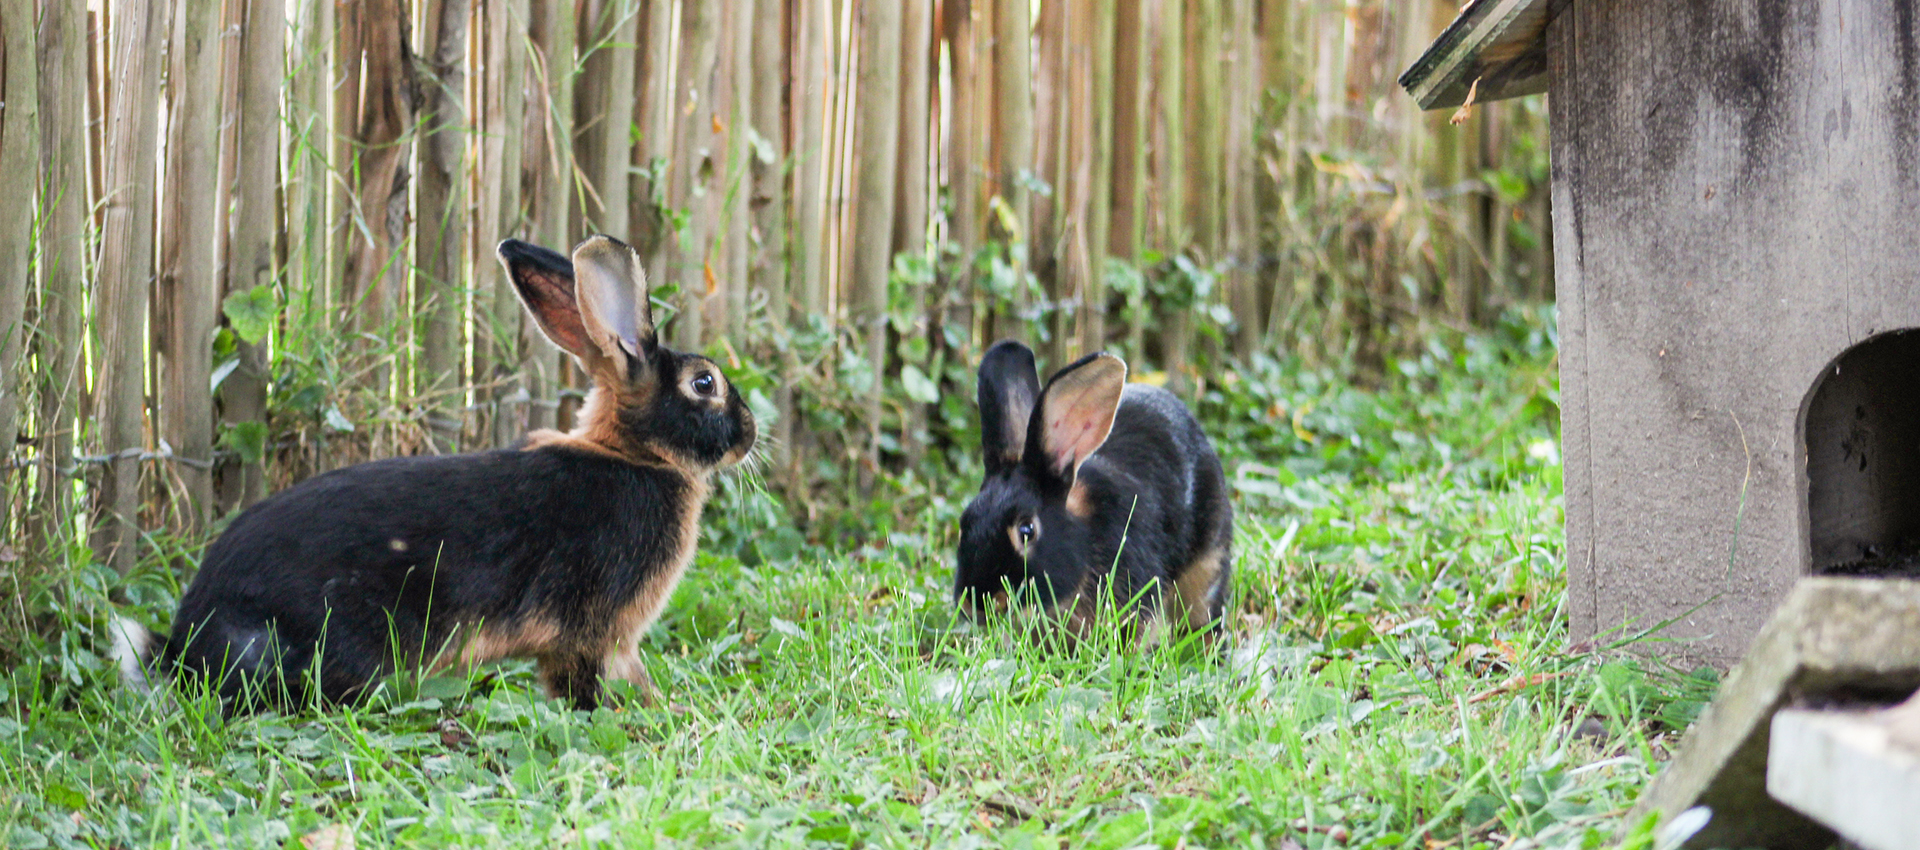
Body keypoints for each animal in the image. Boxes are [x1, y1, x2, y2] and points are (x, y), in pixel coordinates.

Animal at [112, 235, 755, 712]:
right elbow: (591, 681)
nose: (748, 434)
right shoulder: (595, 632)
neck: (633, 454)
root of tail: (183, 649)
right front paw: (647, 710)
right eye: (704, 383)